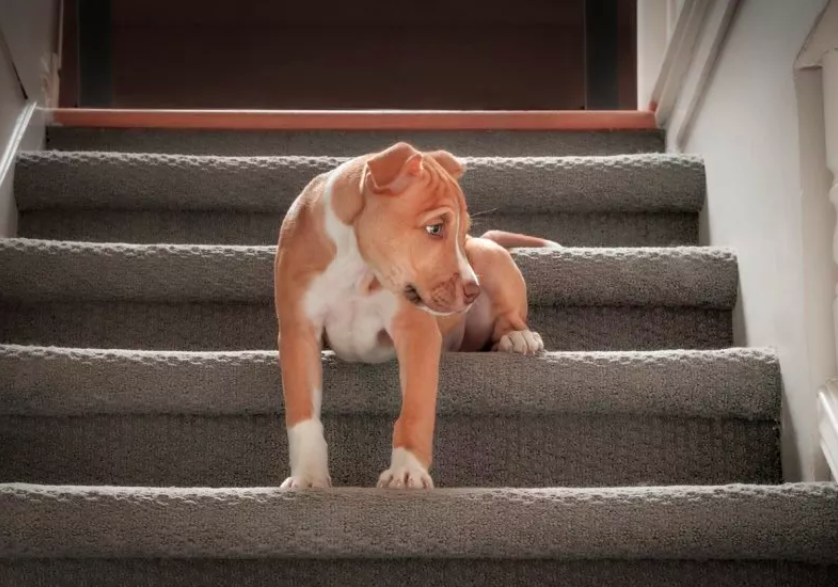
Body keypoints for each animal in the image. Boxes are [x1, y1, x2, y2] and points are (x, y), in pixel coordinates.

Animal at [278, 142, 556, 492]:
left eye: (462, 231)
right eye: (434, 228)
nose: (473, 291)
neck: (357, 267)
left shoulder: (416, 333)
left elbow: (415, 410)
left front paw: (407, 470)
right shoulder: (298, 332)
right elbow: (302, 412)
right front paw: (308, 476)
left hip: (491, 257)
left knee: (510, 314)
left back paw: (517, 336)